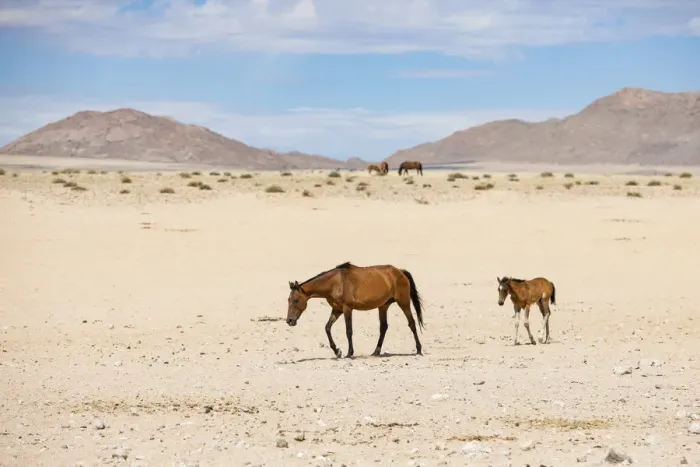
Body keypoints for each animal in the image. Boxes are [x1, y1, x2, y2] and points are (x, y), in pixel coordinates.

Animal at [286, 262, 425, 358]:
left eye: (296, 300)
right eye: (288, 300)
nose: (289, 321)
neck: (335, 283)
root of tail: (400, 271)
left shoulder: (347, 309)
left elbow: (348, 331)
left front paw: (349, 353)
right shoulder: (337, 310)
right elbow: (327, 328)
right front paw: (337, 351)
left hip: (404, 303)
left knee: (412, 323)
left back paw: (418, 350)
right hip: (383, 306)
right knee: (383, 327)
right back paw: (376, 352)